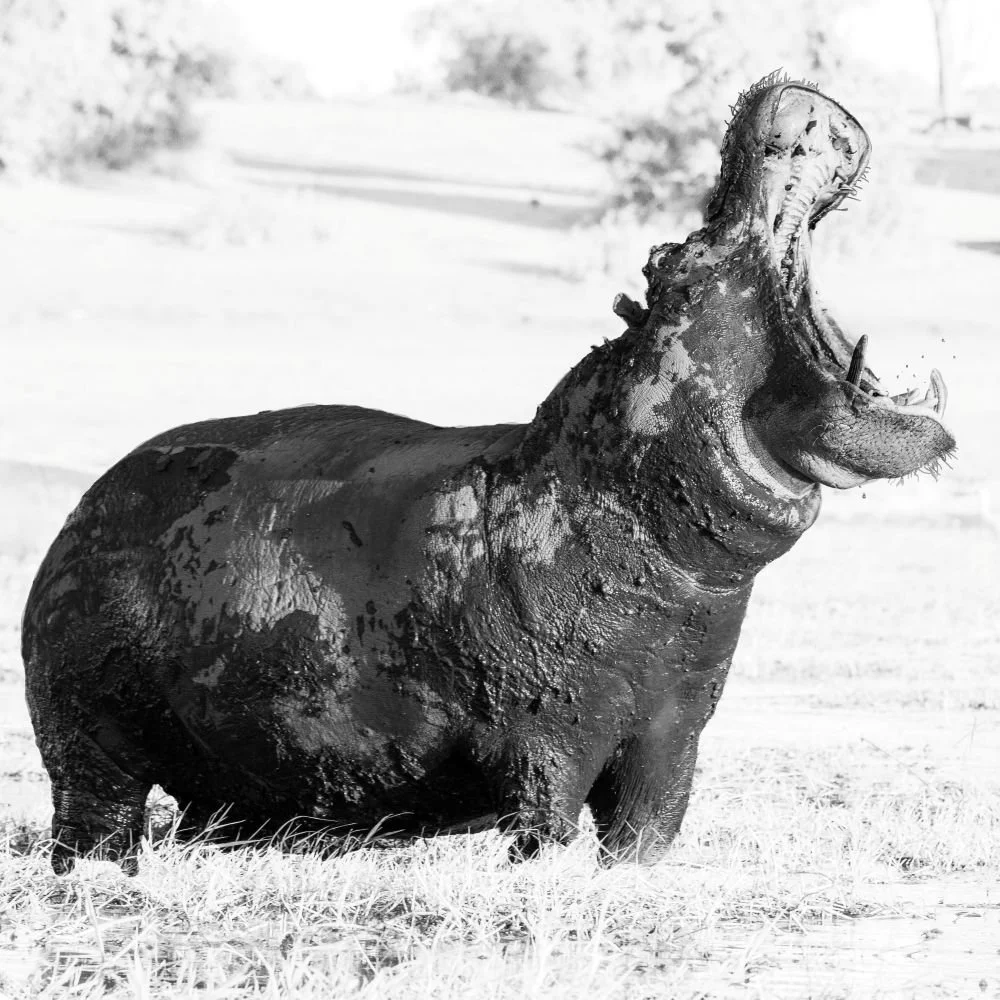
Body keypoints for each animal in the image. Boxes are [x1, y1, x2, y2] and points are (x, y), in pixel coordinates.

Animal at [23, 75, 954, 874]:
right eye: (671, 258)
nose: (779, 97)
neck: (629, 496)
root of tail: (81, 509)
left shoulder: (674, 727)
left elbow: (649, 830)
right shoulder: (550, 729)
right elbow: (545, 823)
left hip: (232, 777)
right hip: (86, 735)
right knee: (95, 815)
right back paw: (99, 875)